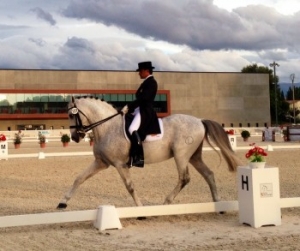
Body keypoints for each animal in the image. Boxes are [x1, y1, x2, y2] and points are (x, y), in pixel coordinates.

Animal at [57, 97, 243, 209]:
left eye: (71, 115)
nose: (75, 137)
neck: (108, 127)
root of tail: (199, 120)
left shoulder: (119, 164)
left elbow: (130, 186)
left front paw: (140, 209)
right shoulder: (101, 162)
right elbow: (79, 178)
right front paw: (62, 203)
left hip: (181, 155)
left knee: (184, 178)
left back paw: (166, 203)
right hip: (193, 157)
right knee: (209, 174)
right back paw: (217, 202)